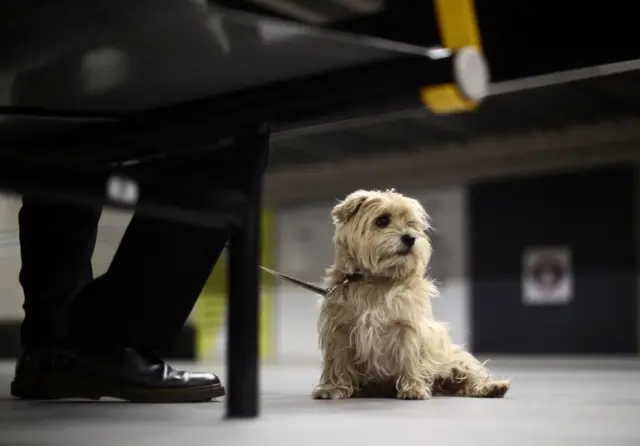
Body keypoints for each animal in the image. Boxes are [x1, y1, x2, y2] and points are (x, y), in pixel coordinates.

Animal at [312, 189, 510, 400]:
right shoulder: (340, 329)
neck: (378, 279)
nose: (410, 238)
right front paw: (333, 388)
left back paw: (491, 387)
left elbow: (409, 356)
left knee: (470, 374)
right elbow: (338, 361)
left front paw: (413, 388)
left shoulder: (407, 327)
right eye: (383, 220)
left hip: (451, 357)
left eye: (410, 223)